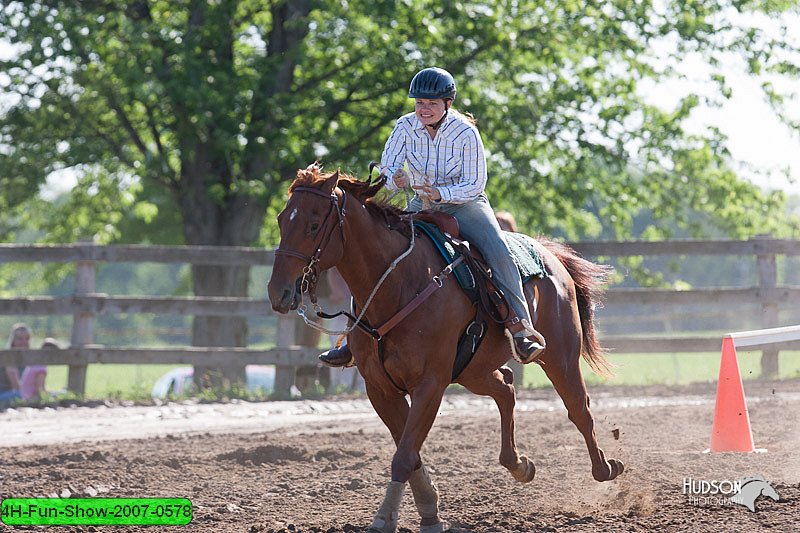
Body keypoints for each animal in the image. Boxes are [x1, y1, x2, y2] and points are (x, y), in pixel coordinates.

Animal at [268, 164, 624, 528]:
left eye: (313, 225)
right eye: (282, 219)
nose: (278, 292)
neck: (398, 284)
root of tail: (551, 255)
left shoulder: (430, 384)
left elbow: (404, 455)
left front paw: (388, 518)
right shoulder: (380, 388)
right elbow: (408, 452)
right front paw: (429, 507)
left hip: (561, 357)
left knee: (579, 409)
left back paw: (605, 469)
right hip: (473, 370)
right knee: (506, 389)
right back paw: (519, 465)